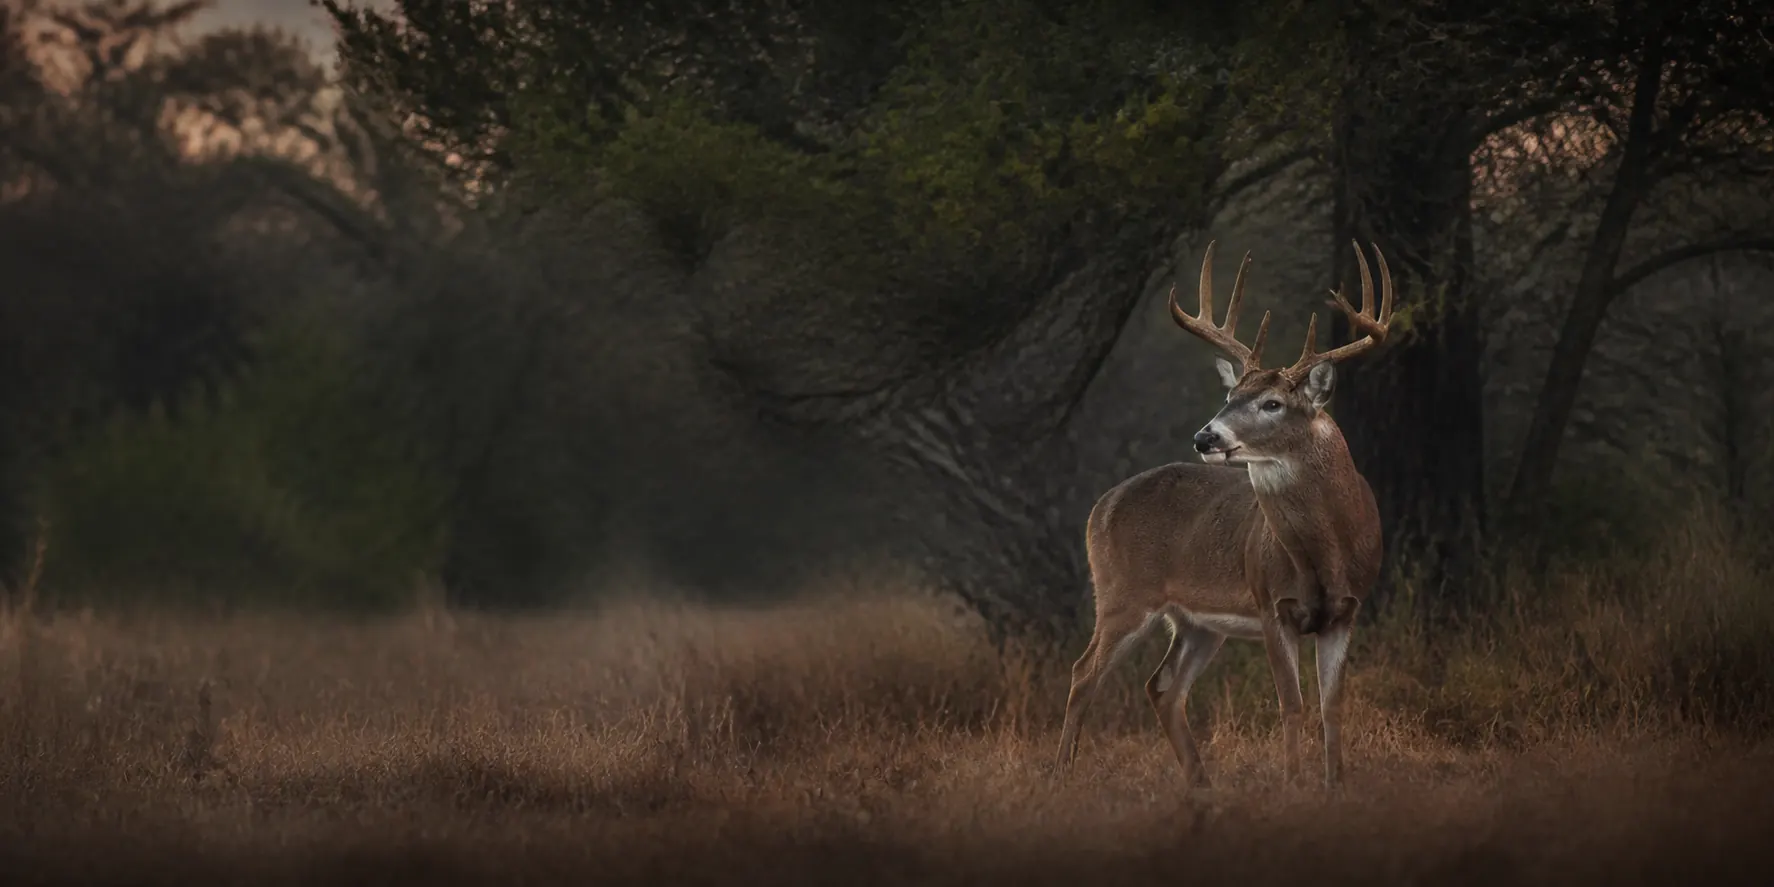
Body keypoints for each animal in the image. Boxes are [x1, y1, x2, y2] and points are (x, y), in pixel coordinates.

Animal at [1054, 239, 1395, 794]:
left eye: (1273, 403)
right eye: (1230, 396)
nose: (1205, 436)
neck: (1326, 551)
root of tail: (1099, 507)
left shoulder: (1346, 610)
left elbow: (1332, 708)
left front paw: (1334, 787)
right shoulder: (1270, 602)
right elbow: (1292, 704)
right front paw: (1294, 786)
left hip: (1197, 622)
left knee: (1162, 686)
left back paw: (1201, 784)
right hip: (1124, 592)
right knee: (1085, 673)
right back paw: (1060, 775)